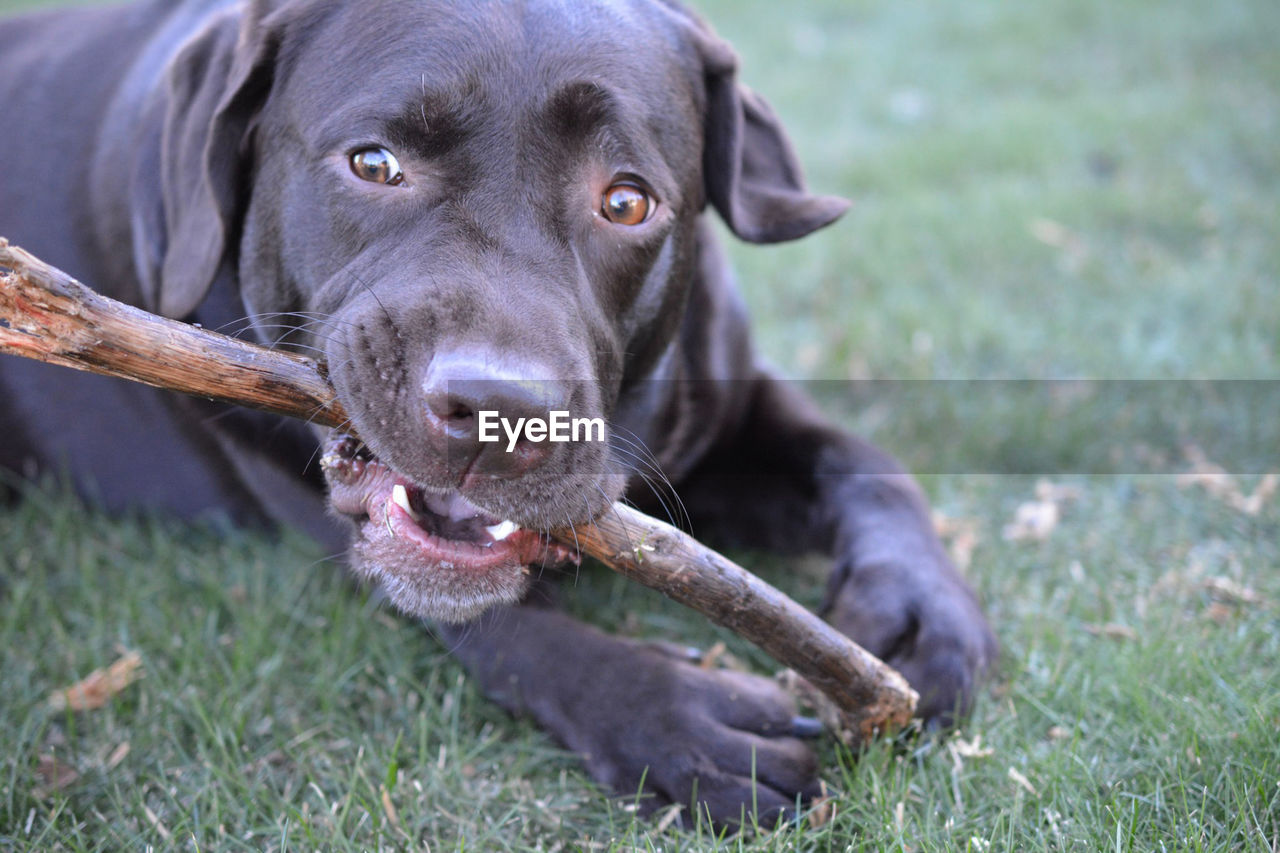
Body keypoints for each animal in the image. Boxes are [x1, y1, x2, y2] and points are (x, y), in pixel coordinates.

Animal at [0, 0, 998, 824]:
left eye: (627, 200)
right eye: (374, 163)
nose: (498, 407)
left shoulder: (738, 405)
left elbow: (870, 463)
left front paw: (922, 609)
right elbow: (514, 630)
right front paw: (674, 716)